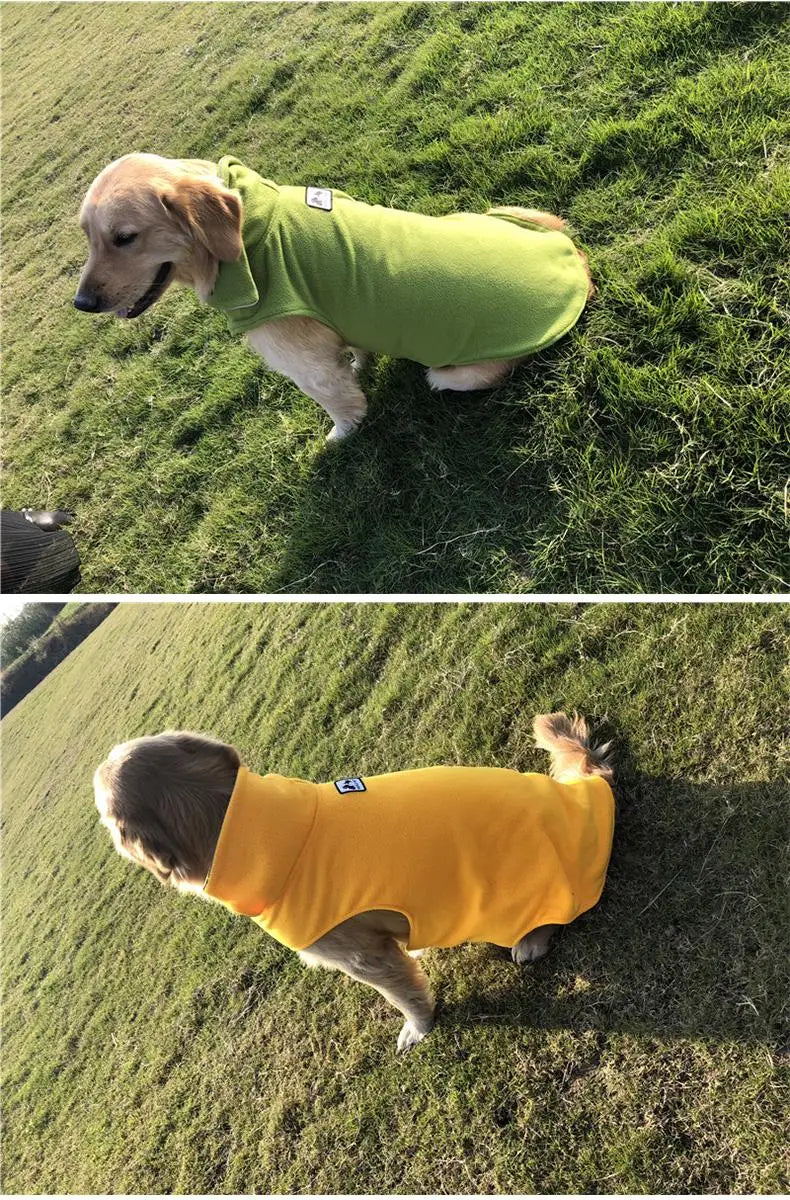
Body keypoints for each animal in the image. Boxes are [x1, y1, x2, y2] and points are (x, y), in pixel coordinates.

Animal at [76, 156, 590, 441]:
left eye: (125, 238)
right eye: (87, 236)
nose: (81, 303)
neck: (243, 238)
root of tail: (580, 276)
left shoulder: (305, 363)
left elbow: (338, 400)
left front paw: (343, 433)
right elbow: (355, 351)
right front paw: (361, 364)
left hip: (449, 375)